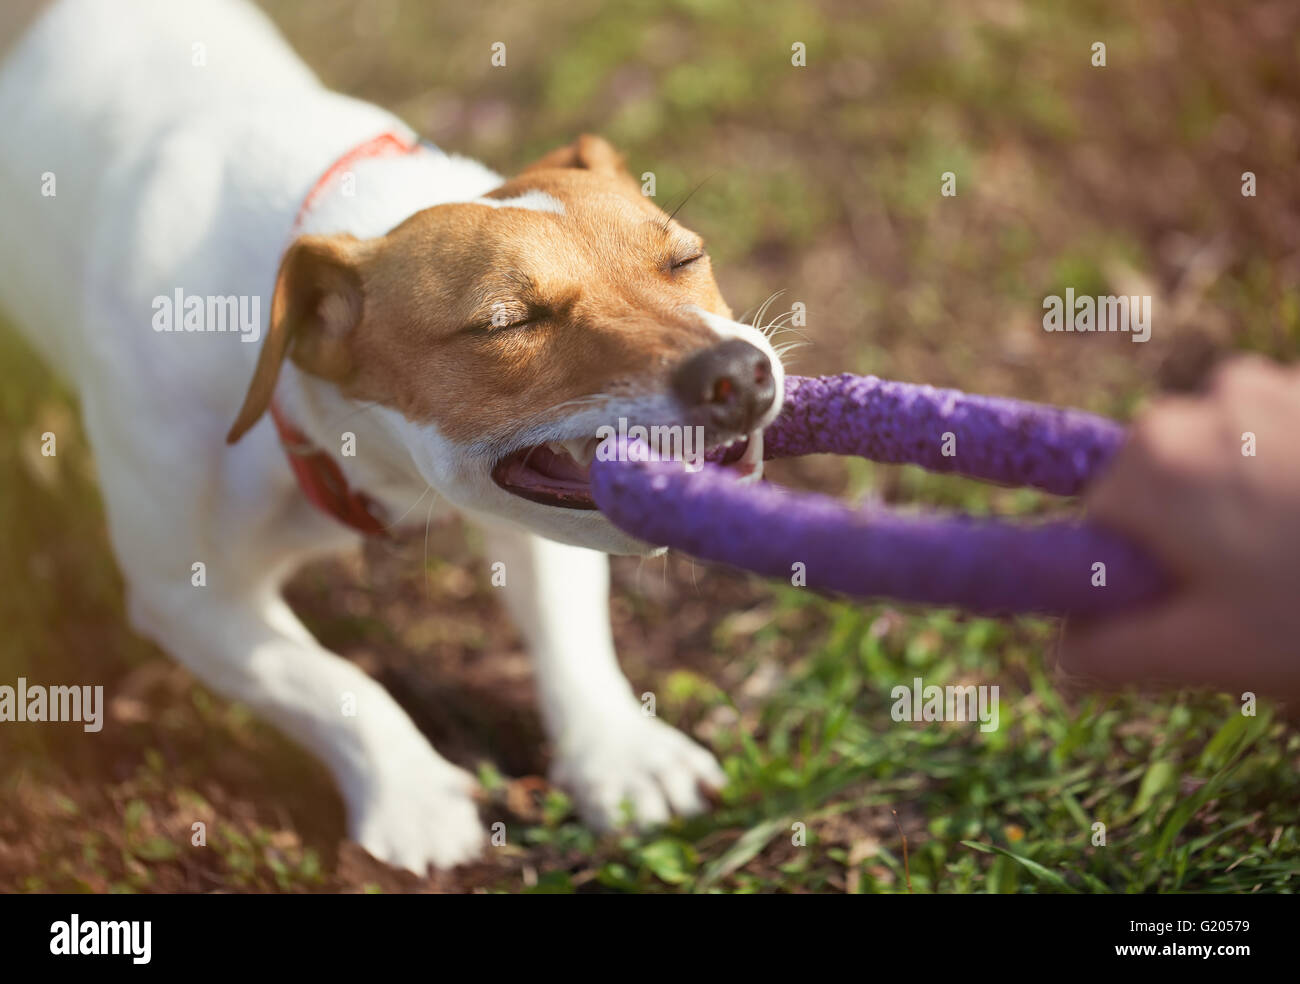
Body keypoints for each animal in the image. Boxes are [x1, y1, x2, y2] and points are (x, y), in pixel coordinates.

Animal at [0, 0, 780, 873]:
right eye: (507, 322)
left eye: (687, 257)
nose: (740, 373)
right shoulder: (185, 594)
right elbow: (329, 683)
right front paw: (414, 797)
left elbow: (567, 635)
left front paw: (621, 754)